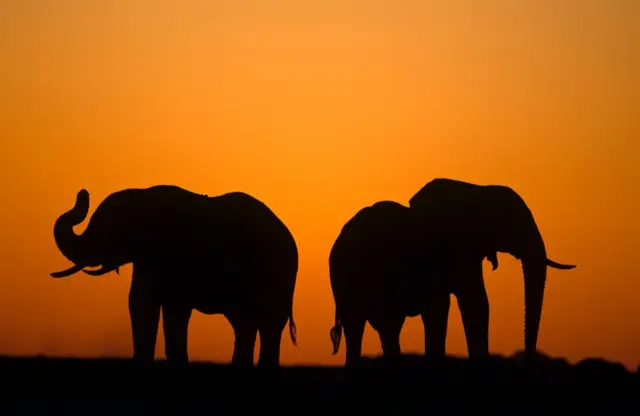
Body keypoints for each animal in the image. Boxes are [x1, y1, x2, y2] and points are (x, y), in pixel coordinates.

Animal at [50, 185, 300, 368]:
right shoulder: (147, 260)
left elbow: (173, 309)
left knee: (269, 324)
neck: (142, 196)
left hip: (278, 276)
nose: (83, 193)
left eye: (107, 228)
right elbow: (140, 302)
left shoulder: (175, 259)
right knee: (245, 324)